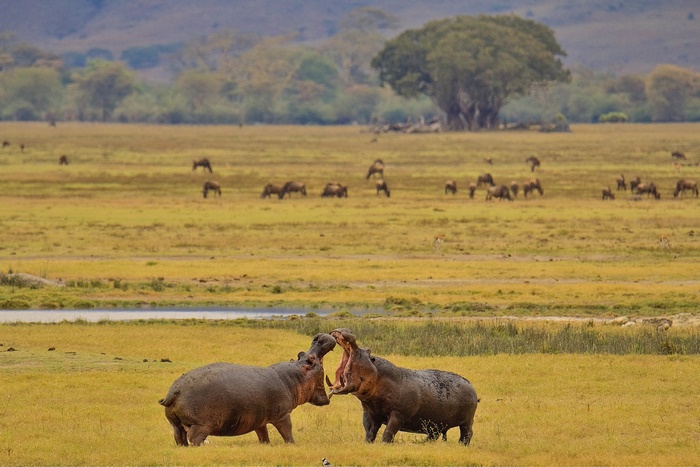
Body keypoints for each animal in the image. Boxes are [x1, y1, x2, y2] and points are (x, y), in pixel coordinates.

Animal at [159, 333, 336, 446]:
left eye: (301, 354)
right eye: (311, 359)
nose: (319, 337)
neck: (294, 378)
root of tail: (174, 392)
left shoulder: (259, 419)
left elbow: (263, 434)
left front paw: (265, 445)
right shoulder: (283, 415)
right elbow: (287, 431)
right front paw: (293, 444)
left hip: (175, 424)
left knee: (179, 437)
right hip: (201, 425)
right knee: (195, 438)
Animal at [327, 328, 478, 445]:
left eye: (368, 350)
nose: (349, 330)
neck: (379, 376)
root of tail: (471, 385)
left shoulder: (398, 414)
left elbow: (388, 432)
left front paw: (385, 444)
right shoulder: (370, 412)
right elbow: (369, 431)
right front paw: (367, 443)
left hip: (466, 421)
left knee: (467, 434)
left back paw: (461, 445)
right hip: (435, 422)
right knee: (434, 435)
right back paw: (423, 443)